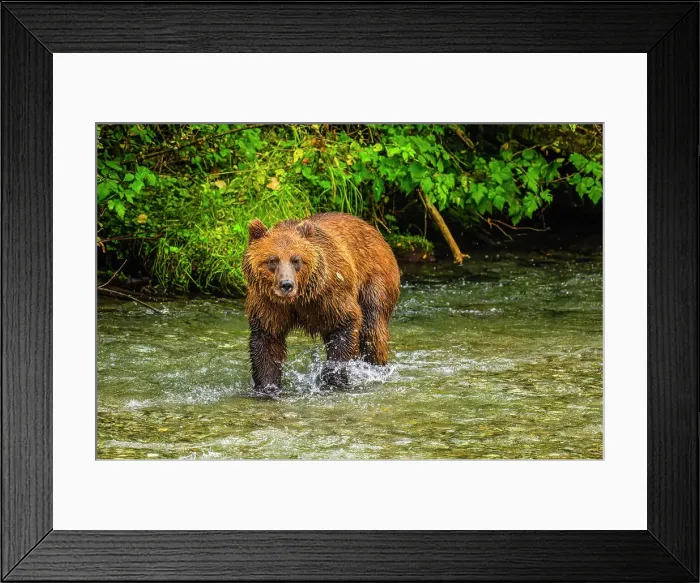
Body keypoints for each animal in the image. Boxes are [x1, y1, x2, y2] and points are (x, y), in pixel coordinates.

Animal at [242, 212, 400, 397]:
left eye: (296, 260)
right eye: (272, 260)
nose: (286, 284)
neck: (299, 298)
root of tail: (375, 231)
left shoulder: (331, 293)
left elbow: (346, 323)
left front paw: (333, 377)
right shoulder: (269, 304)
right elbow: (267, 341)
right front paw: (267, 387)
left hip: (375, 280)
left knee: (372, 330)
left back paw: (375, 368)